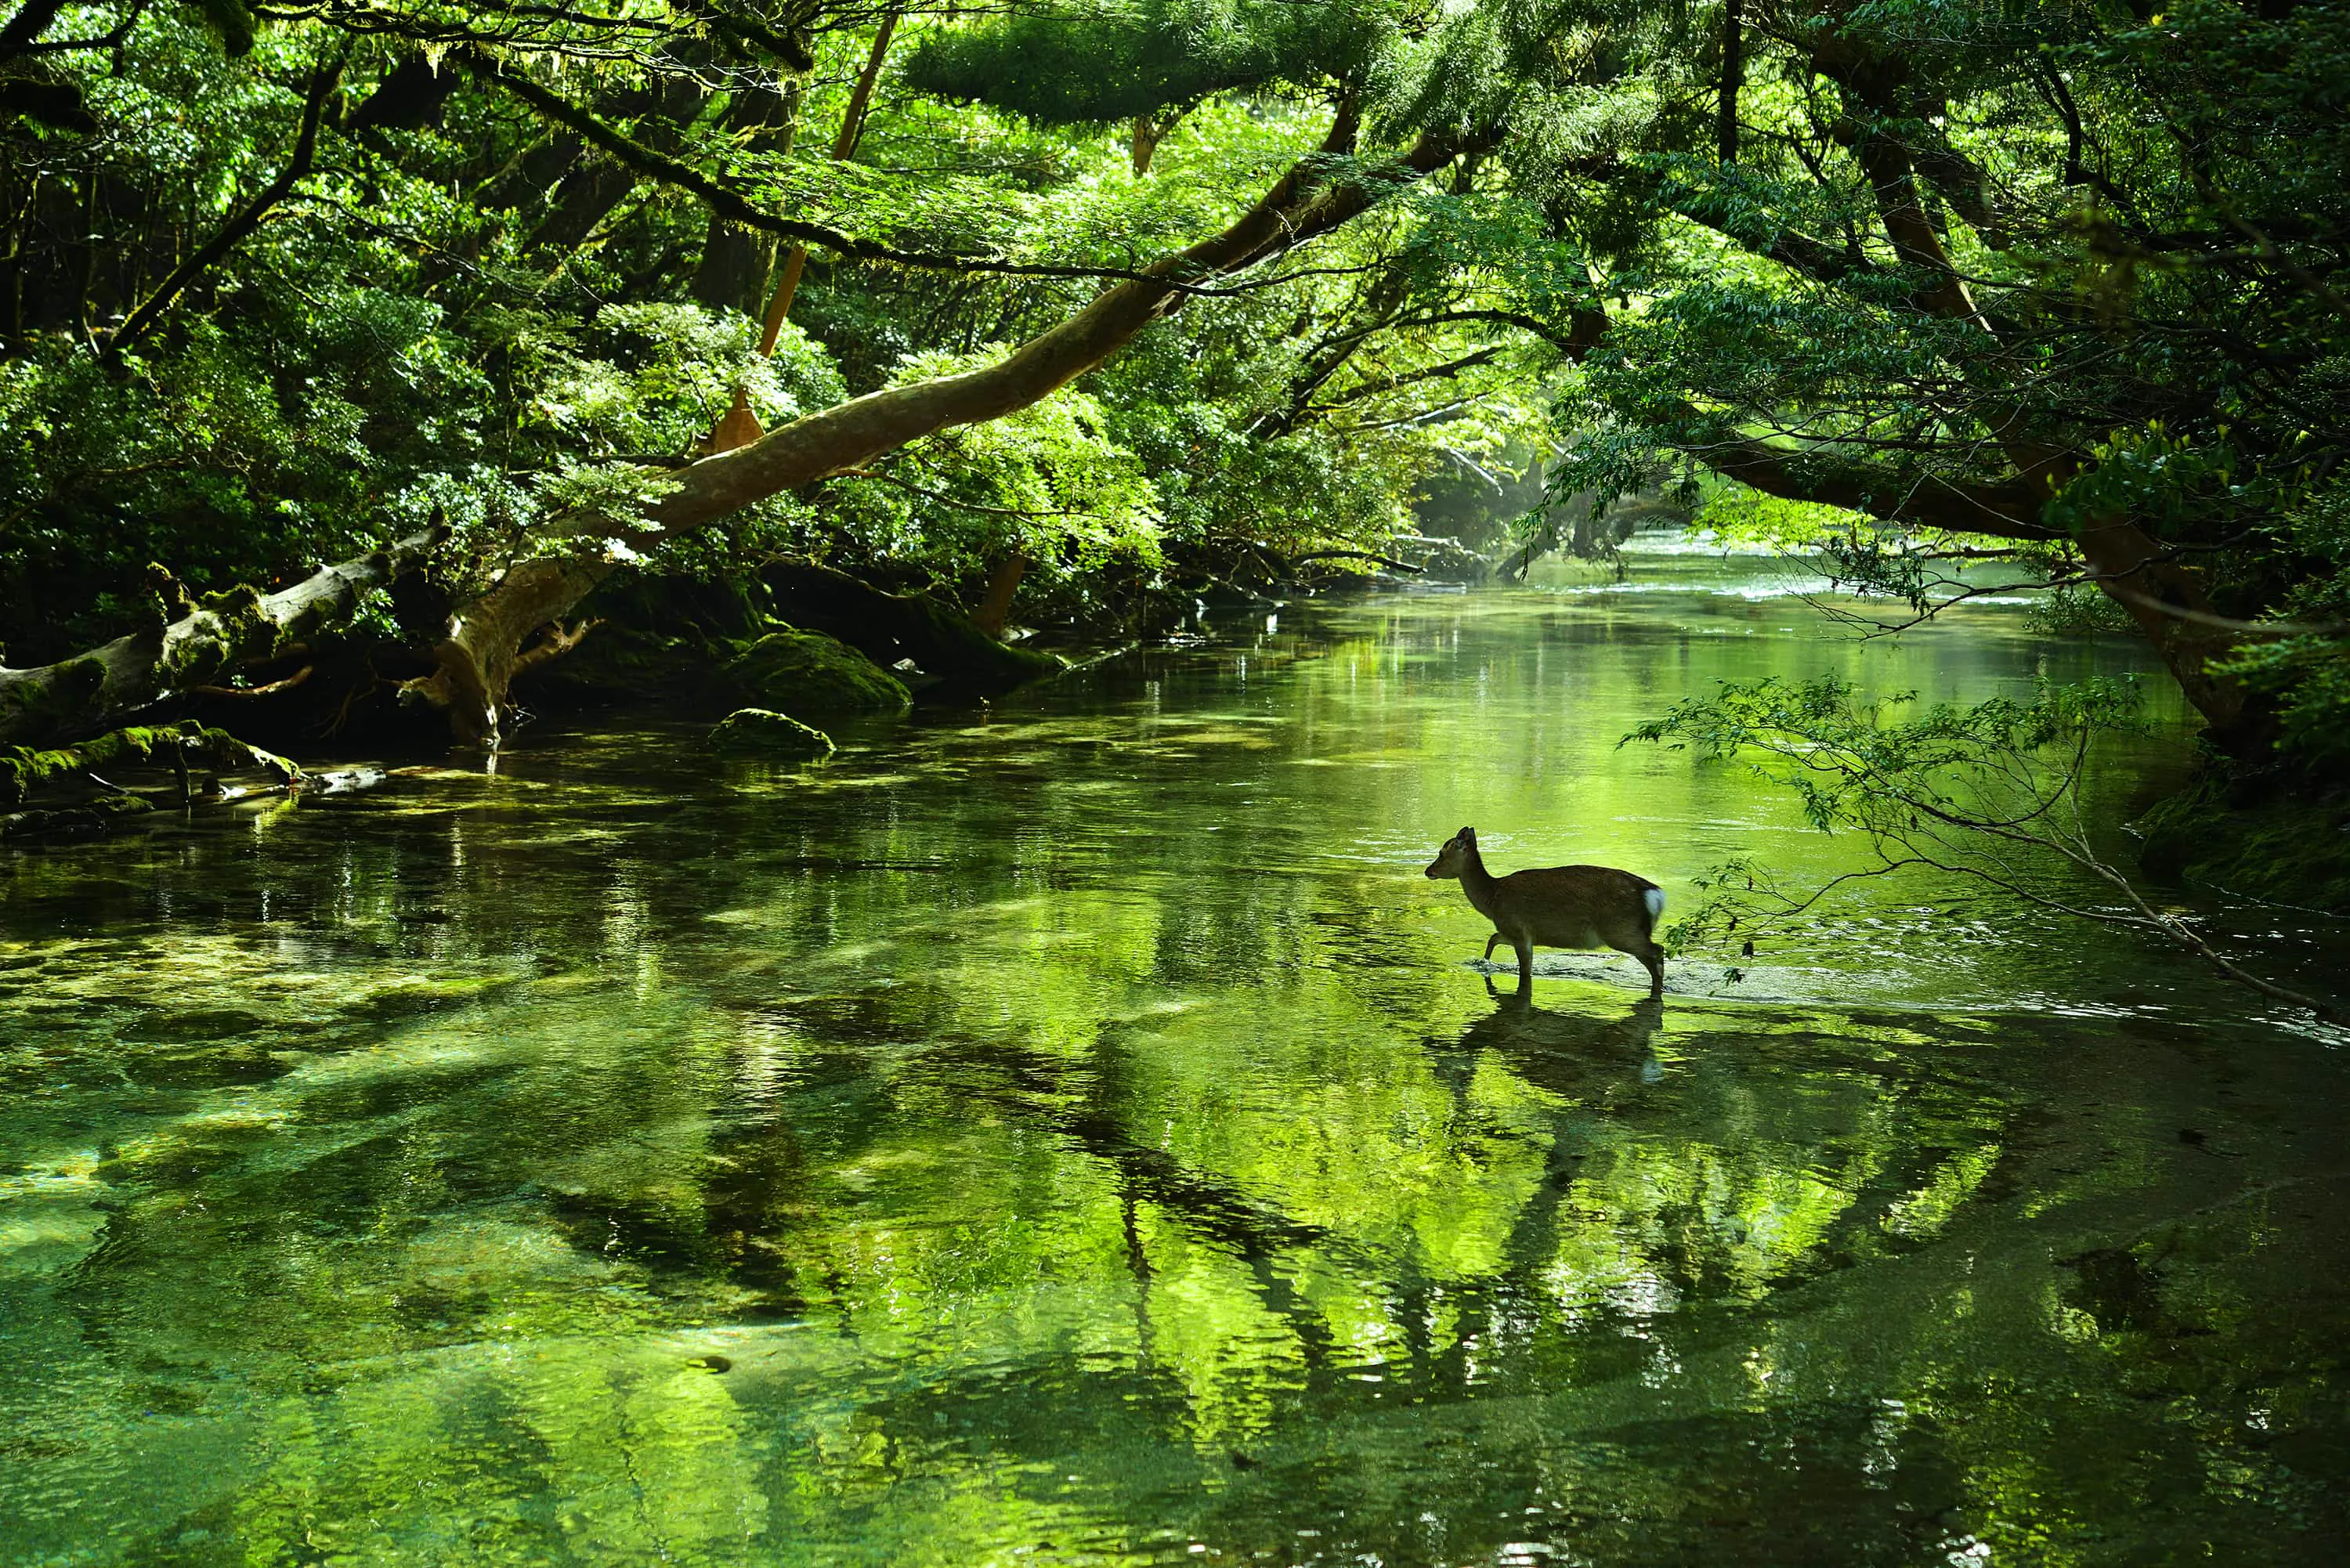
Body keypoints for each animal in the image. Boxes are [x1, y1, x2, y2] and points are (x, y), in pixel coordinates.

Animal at [1424, 827, 1666, 997]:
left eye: (1441, 852)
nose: (1428, 870)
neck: (1492, 898)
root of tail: (1655, 894)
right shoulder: (1512, 930)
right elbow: (1492, 938)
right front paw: (1483, 963)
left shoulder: (1519, 929)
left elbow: (1524, 971)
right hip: (1631, 932)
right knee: (1653, 957)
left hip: (1620, 929)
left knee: (1658, 950)